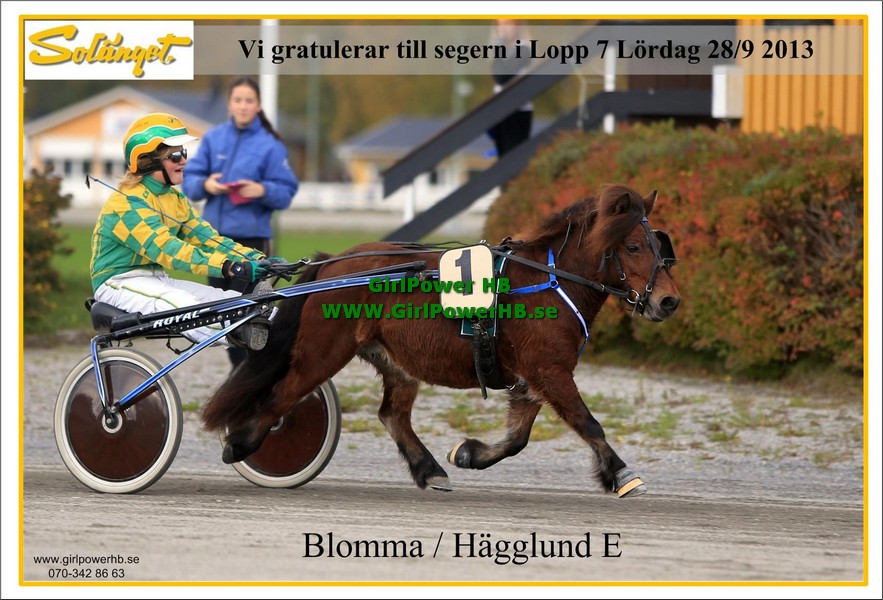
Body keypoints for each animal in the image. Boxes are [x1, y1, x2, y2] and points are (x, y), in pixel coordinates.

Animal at [202, 183, 680, 497]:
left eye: (661, 247)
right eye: (634, 247)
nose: (669, 301)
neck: (549, 281)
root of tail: (333, 262)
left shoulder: (534, 376)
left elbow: (518, 439)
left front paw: (468, 454)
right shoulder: (550, 369)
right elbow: (587, 422)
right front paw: (621, 474)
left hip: (394, 360)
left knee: (392, 415)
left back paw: (428, 469)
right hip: (325, 352)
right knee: (282, 394)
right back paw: (241, 442)